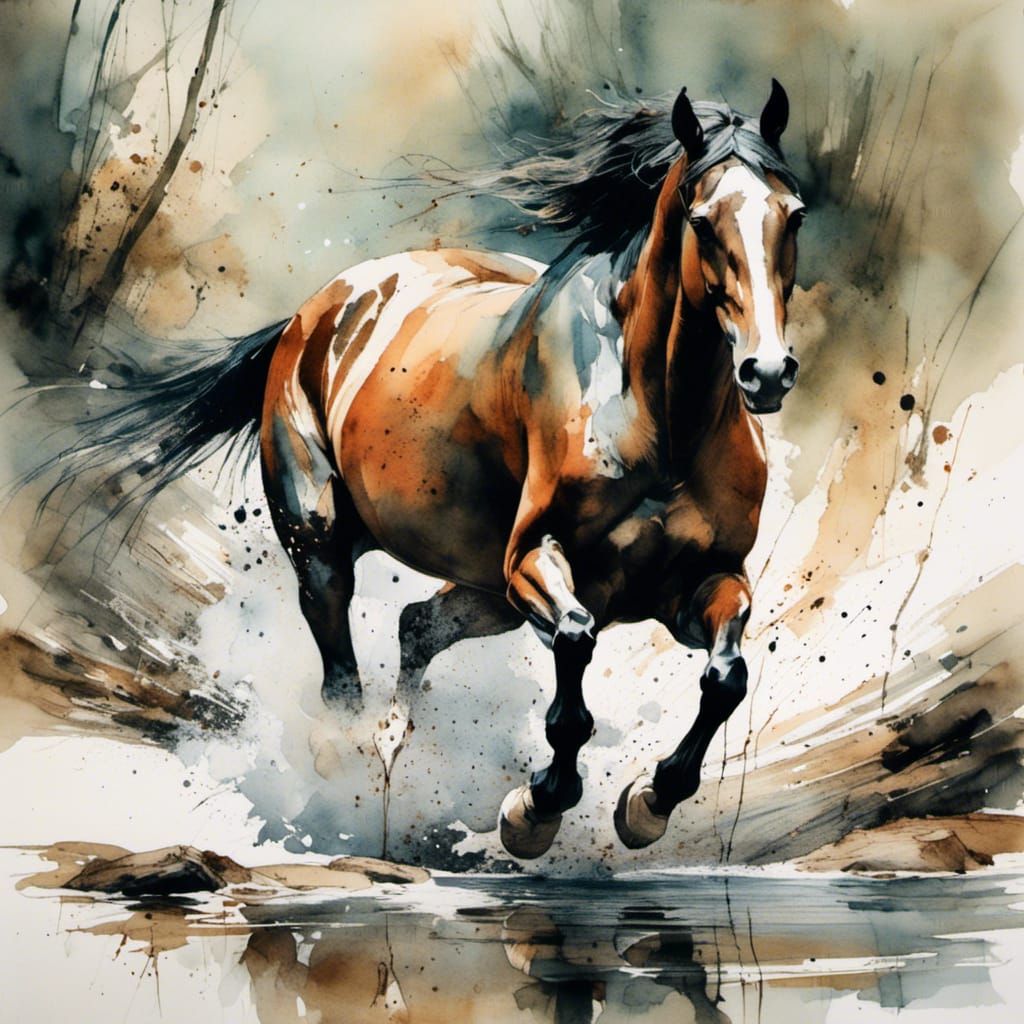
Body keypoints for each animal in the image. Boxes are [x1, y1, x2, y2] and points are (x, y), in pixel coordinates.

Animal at [54, 82, 805, 859]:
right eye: (703, 219)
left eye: (794, 213)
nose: (767, 371)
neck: (656, 419)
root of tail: (314, 311)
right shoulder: (532, 560)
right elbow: (574, 648)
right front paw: (534, 811)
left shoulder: (701, 581)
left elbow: (726, 677)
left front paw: (648, 803)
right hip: (325, 546)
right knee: (341, 670)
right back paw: (348, 782)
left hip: (484, 591)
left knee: (418, 626)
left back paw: (396, 756)